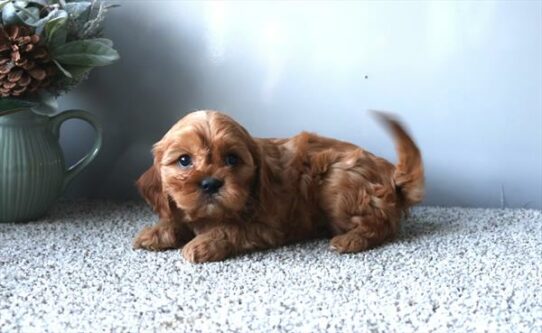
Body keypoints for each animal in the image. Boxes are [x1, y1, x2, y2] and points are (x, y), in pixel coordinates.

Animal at [133, 110, 424, 264]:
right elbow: (178, 218)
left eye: (232, 159)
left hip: (337, 183)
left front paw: (201, 244)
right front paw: (155, 232)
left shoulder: (266, 227)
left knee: (382, 224)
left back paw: (350, 239)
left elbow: (228, 229)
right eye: (184, 160)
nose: (211, 183)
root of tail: (390, 174)